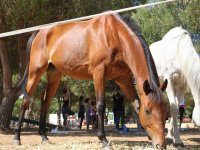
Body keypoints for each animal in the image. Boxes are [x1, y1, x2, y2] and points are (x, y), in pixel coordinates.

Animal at [12, 13, 167, 149]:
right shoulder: (99, 73)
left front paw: (149, 137)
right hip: (35, 73)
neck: (114, 34)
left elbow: (136, 105)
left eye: (164, 110)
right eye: (148, 111)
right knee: (25, 101)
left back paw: (44, 137)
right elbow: (100, 105)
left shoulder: (124, 79)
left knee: (45, 102)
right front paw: (103, 140)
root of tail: (40, 32)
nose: (161, 145)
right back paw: (17, 137)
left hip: (54, 75)